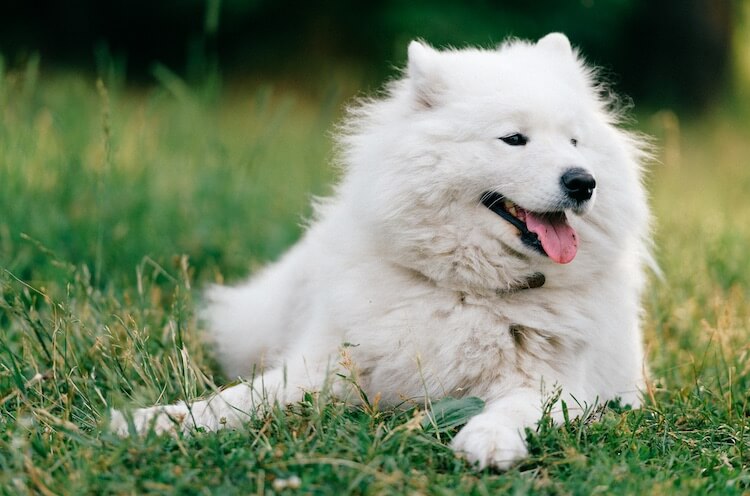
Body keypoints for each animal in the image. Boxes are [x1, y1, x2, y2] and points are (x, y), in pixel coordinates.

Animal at [110, 34, 652, 468]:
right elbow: (241, 398)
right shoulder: (326, 365)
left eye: (575, 141)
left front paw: (488, 439)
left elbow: (517, 407)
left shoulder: (559, 386)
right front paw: (161, 419)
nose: (583, 182)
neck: (467, 289)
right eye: (514, 139)